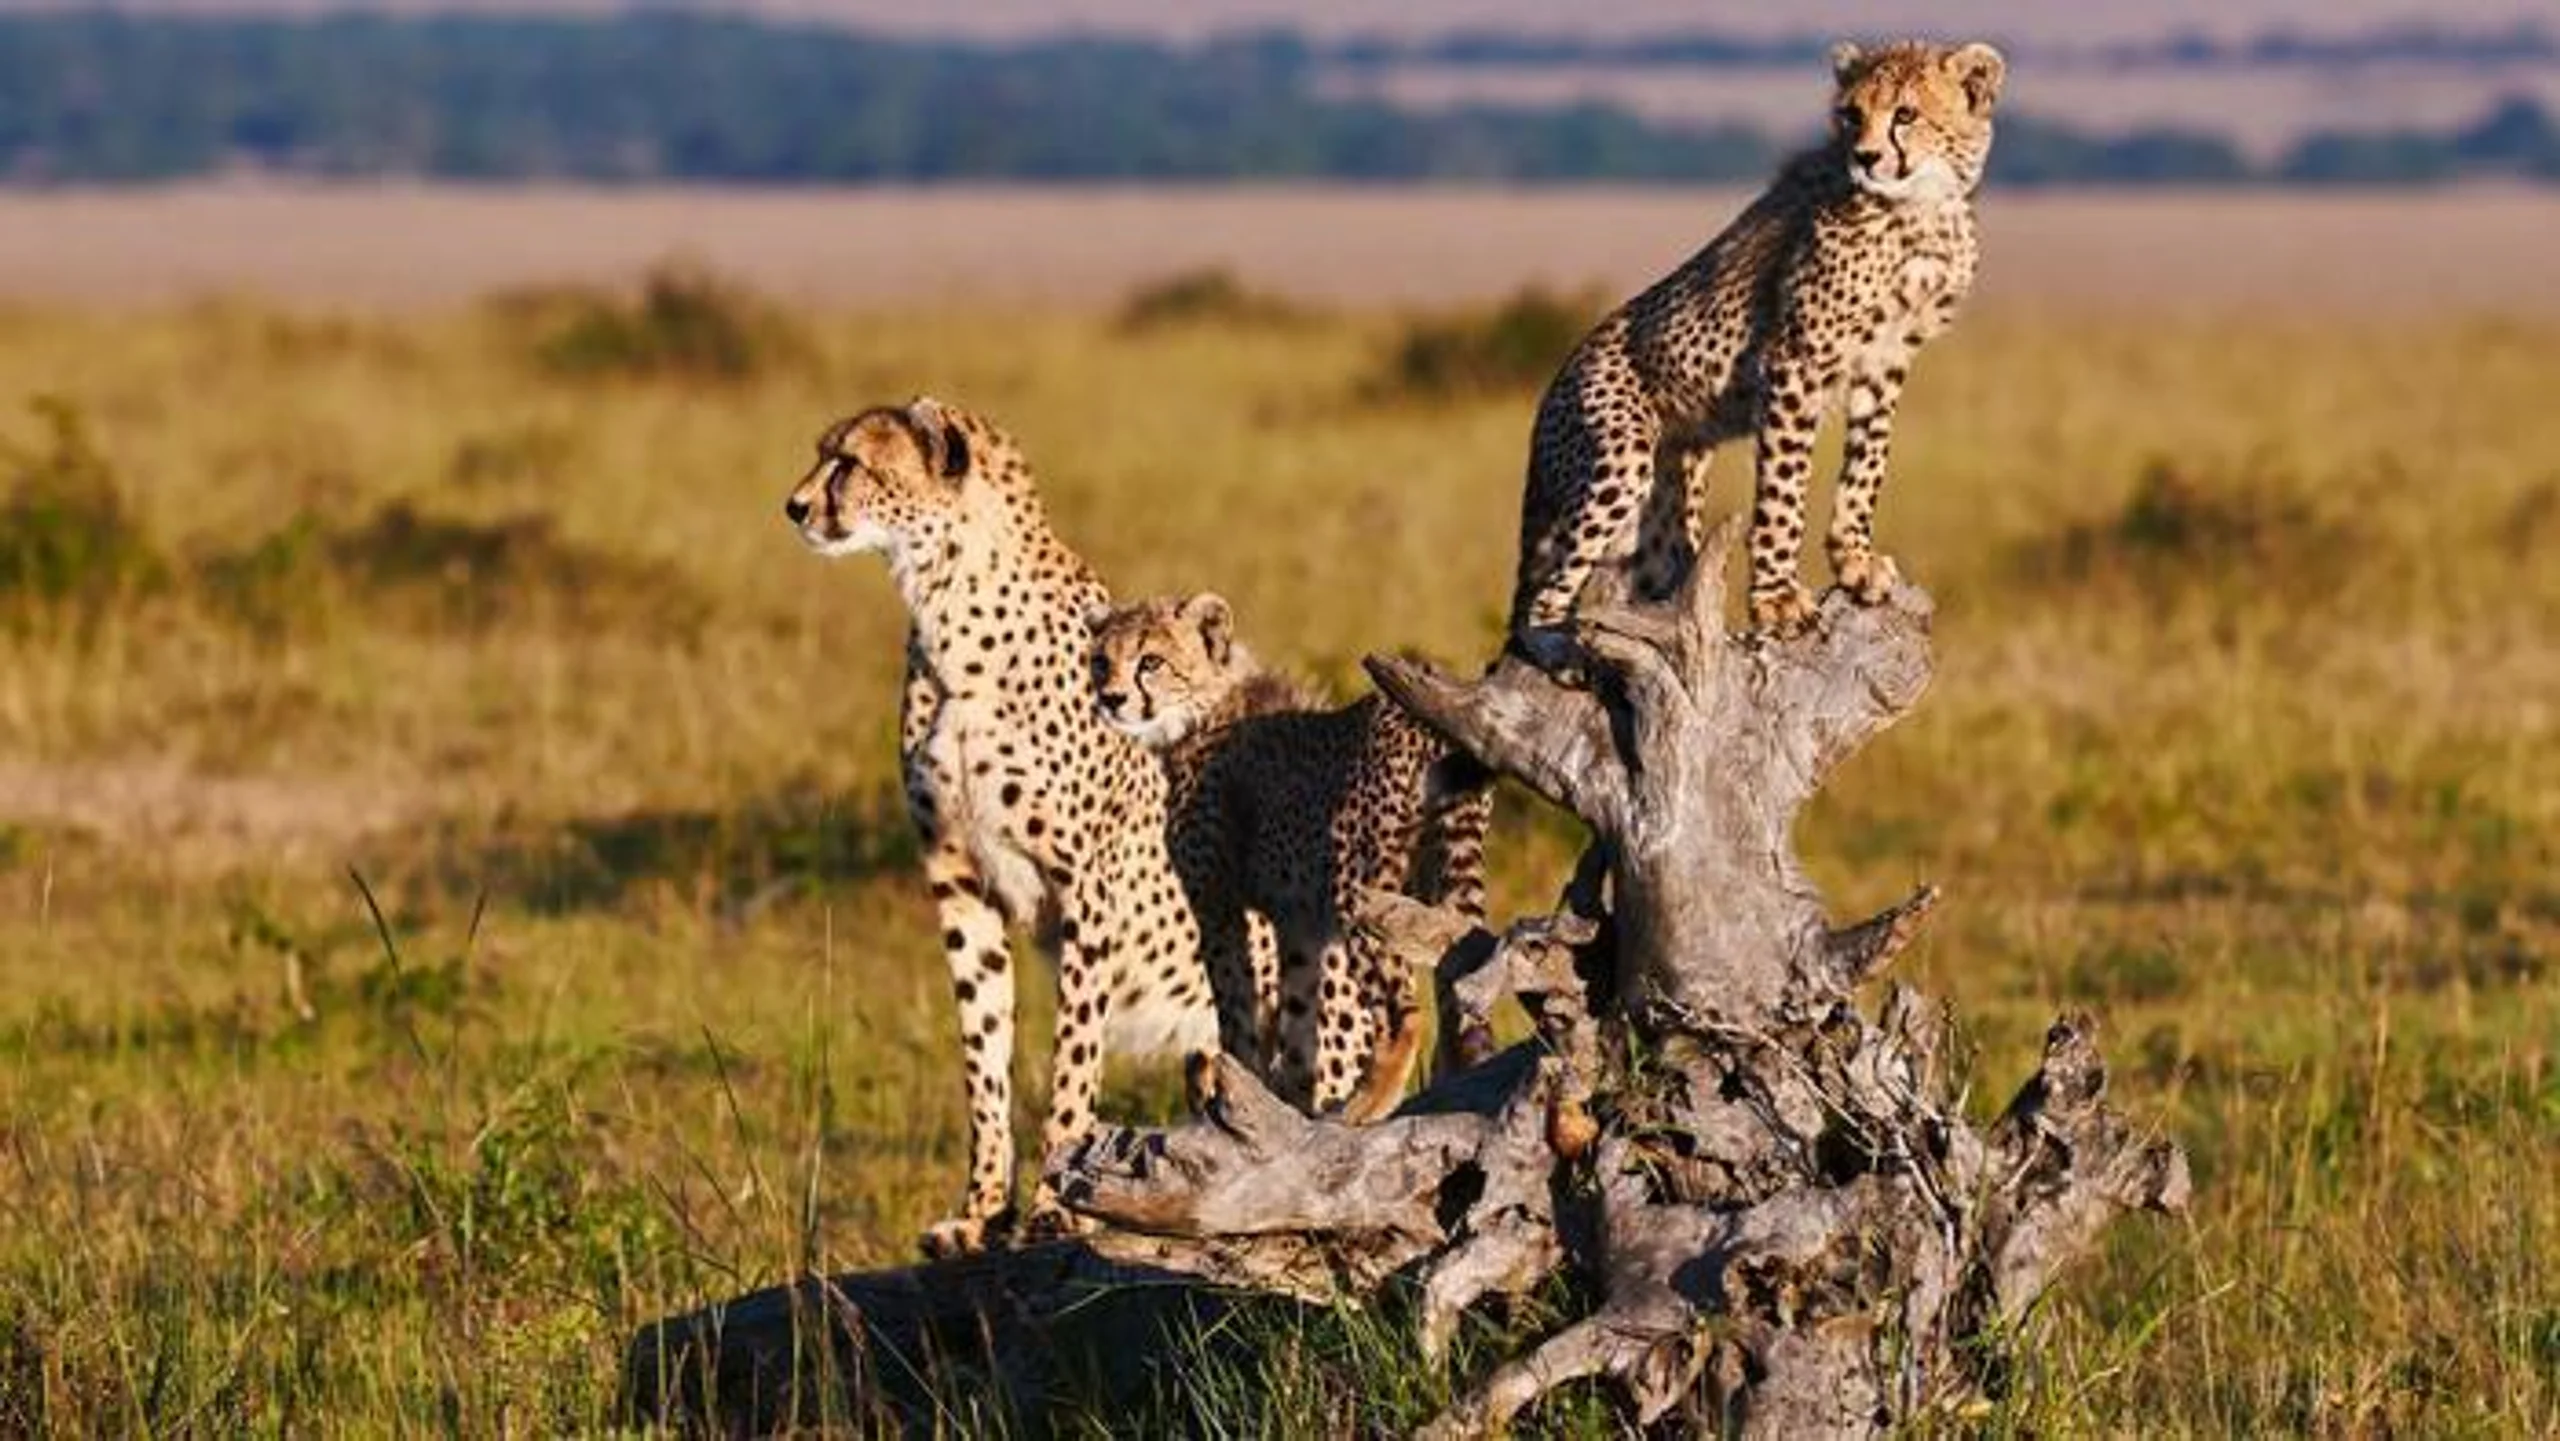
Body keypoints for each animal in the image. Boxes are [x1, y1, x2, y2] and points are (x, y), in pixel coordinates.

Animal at [782, 398, 1257, 1257]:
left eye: (851, 463)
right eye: (824, 454)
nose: (794, 506)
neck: (946, 605)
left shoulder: (1088, 888)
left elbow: (1072, 1058)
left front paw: (1053, 1205)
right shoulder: (956, 876)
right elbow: (985, 1051)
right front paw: (979, 1212)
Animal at [1089, 591, 1492, 1122]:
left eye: (1150, 661)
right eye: (1101, 660)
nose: (1111, 698)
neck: (1198, 710)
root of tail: (1416, 718)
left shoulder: (1219, 904)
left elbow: (1234, 1007)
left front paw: (1236, 1087)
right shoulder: (1299, 918)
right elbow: (1299, 1017)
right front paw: (1292, 1100)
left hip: (1358, 886)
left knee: (1402, 1011)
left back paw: (1364, 1106)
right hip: (1438, 877)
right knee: (1457, 991)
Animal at [1509, 38, 2004, 644]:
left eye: (1906, 115)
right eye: (1851, 115)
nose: (1864, 157)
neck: (1923, 209)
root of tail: (1551, 387)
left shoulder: (1888, 361)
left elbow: (1867, 465)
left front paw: (1855, 560)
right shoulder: (1797, 361)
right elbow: (1782, 491)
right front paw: (1777, 600)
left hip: (1666, 499)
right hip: (1620, 459)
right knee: (1545, 596)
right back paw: (1554, 644)